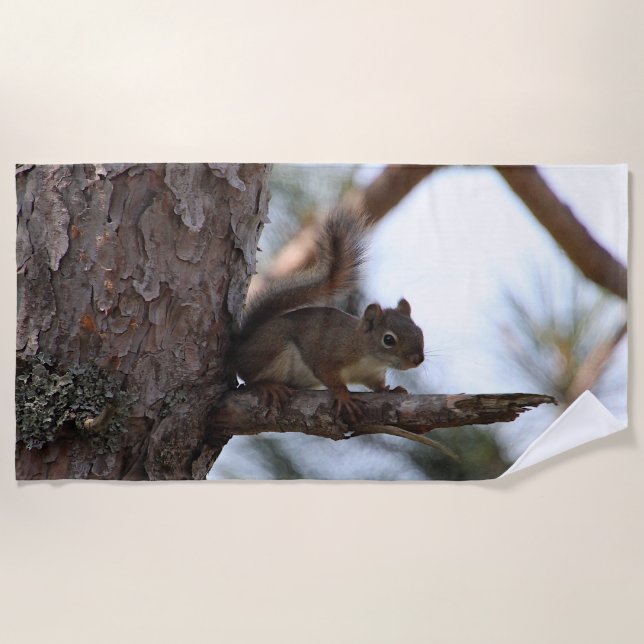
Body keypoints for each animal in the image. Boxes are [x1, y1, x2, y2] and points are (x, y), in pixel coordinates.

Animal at [231, 209, 425, 421]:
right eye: (388, 339)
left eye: (420, 332)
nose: (418, 359)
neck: (369, 356)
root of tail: (242, 346)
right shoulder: (328, 354)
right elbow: (329, 376)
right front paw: (343, 395)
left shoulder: (372, 374)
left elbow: (377, 386)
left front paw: (389, 390)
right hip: (272, 347)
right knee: (249, 378)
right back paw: (268, 386)